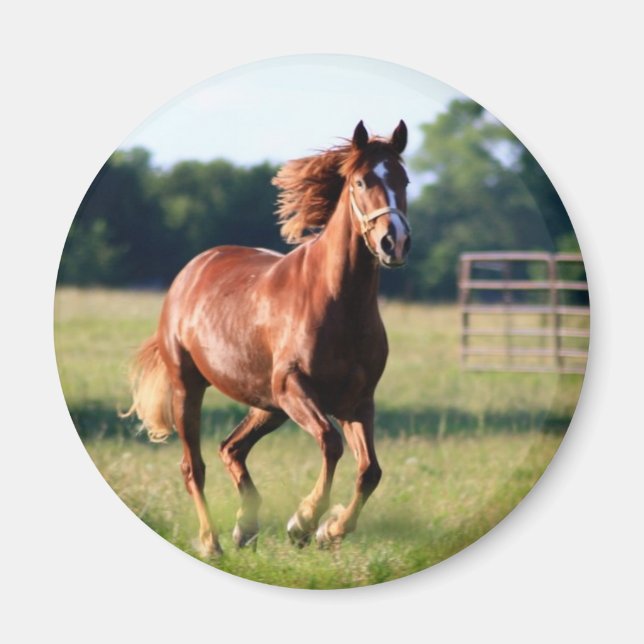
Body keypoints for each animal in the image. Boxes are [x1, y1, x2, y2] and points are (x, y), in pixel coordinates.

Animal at [124, 120, 411, 556]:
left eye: (405, 180)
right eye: (361, 181)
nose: (394, 242)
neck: (337, 302)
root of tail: (191, 271)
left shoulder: (357, 401)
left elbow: (370, 471)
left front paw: (330, 530)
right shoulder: (294, 386)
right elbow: (330, 443)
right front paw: (304, 522)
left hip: (267, 404)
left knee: (231, 448)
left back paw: (246, 527)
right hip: (192, 388)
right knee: (194, 467)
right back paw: (212, 542)